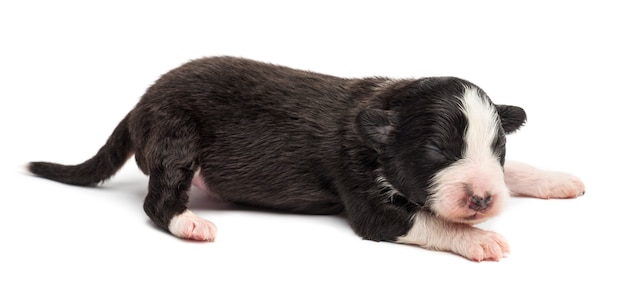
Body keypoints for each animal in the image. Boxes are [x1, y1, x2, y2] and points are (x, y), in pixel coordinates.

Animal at [28, 56, 584, 262]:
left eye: (497, 149)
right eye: (435, 151)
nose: (484, 199)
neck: (378, 122)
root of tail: (139, 105)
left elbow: (517, 173)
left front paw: (556, 179)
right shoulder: (366, 198)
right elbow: (426, 220)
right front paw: (480, 238)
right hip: (176, 135)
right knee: (157, 201)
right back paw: (191, 223)